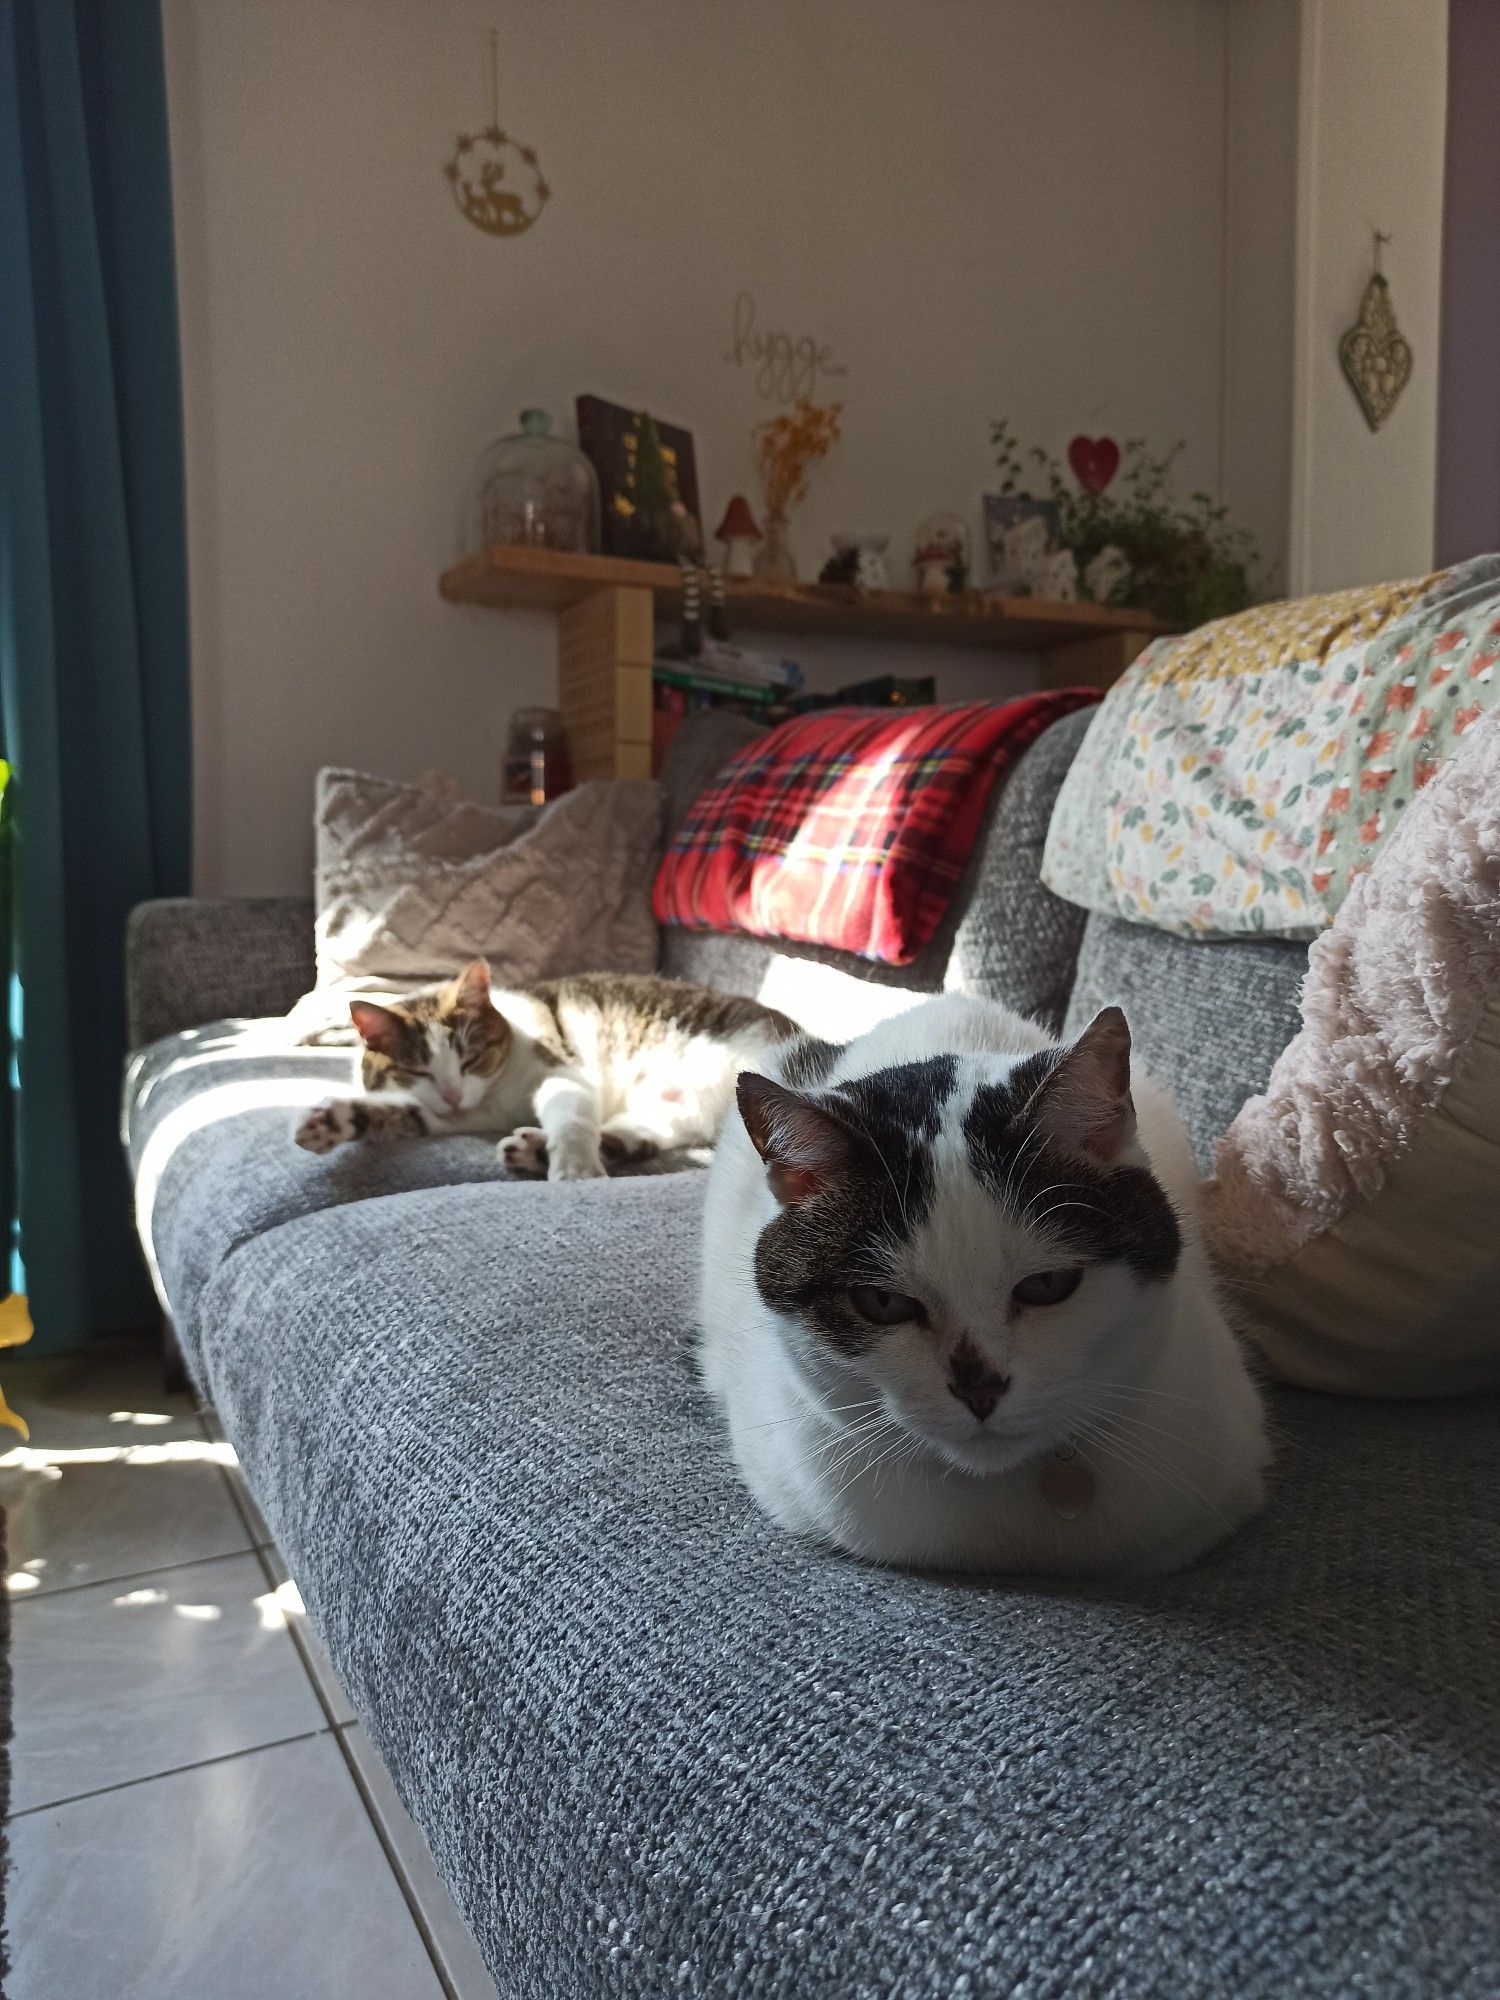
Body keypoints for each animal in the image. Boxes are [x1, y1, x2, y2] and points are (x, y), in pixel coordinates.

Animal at [296, 960, 800, 1176]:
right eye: (418, 1072)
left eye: (470, 1057)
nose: (454, 1096)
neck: (495, 1093)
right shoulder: (458, 1112)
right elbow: (403, 1114)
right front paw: (330, 1122)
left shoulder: (562, 1071)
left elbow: (572, 1117)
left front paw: (575, 1170)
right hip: (669, 1109)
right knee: (636, 1138)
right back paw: (533, 1150)